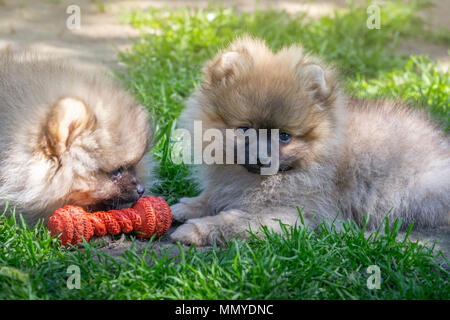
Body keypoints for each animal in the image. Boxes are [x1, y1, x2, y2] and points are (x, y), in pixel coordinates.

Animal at [170, 36, 450, 245]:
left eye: (285, 136)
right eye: (244, 129)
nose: (263, 158)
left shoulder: (284, 213)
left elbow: (232, 221)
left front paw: (194, 231)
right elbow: (210, 197)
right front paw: (185, 207)